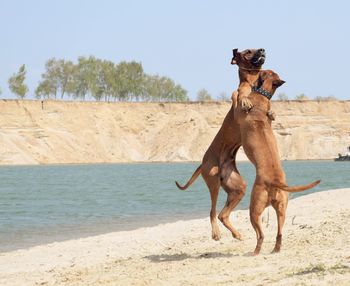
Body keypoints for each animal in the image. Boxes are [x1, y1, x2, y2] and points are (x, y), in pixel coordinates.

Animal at [237, 70, 322, 255]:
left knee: (261, 235)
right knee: (280, 232)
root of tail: (275, 181)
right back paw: (276, 248)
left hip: (254, 209)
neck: (262, 95)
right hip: (282, 208)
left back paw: (255, 252)